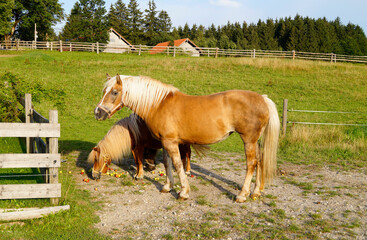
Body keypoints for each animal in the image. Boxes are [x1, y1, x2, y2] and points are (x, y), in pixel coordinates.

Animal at [95, 75, 282, 202]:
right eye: (104, 91)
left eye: (114, 92)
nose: (98, 113)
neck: (159, 104)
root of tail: (263, 98)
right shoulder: (165, 142)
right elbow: (167, 163)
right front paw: (167, 187)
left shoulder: (171, 142)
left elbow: (178, 165)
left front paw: (183, 192)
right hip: (255, 141)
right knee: (260, 161)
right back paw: (256, 191)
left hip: (248, 140)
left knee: (251, 164)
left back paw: (242, 195)